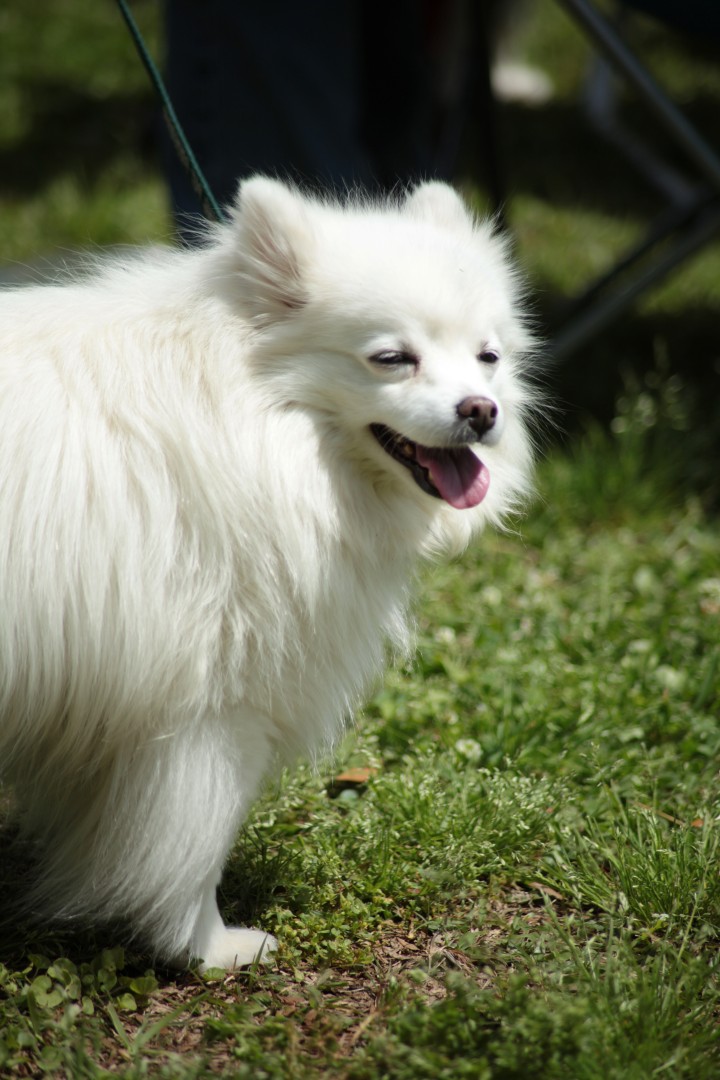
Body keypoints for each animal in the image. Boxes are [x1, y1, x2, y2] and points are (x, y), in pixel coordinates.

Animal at [0, 178, 536, 970]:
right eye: (391, 358)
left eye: (488, 356)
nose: (481, 410)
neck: (247, 415)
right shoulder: (209, 708)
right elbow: (190, 852)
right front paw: (206, 949)